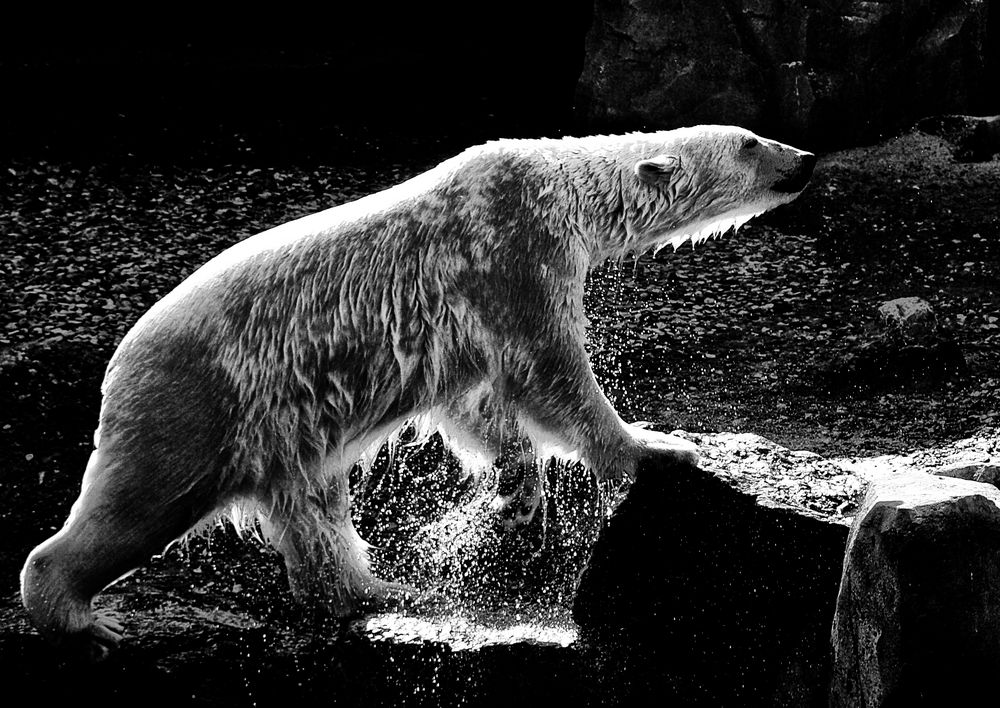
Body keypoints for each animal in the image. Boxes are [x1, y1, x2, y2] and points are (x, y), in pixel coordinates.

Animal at [21, 123, 812, 660]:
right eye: (750, 140)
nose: (806, 158)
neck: (559, 182)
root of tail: (117, 368)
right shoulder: (511, 246)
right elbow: (547, 369)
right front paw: (655, 447)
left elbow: (476, 403)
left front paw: (518, 491)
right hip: (199, 397)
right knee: (141, 500)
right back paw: (85, 615)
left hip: (279, 426)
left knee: (312, 505)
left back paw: (387, 590)